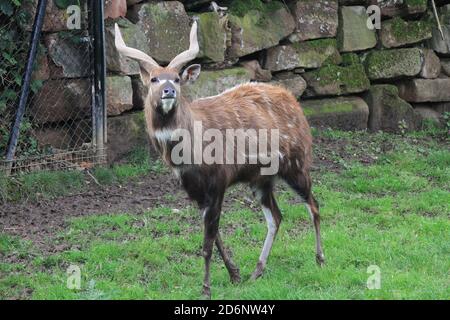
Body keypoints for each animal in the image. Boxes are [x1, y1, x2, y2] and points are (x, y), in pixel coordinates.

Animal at [114, 21, 326, 298]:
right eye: (154, 79)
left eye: (177, 78)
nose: (169, 91)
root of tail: (294, 102)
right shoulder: (195, 191)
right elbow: (214, 237)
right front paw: (235, 275)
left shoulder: (218, 183)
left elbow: (207, 243)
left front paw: (206, 289)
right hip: (261, 180)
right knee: (276, 217)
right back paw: (256, 272)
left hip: (296, 166)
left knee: (313, 205)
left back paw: (320, 259)